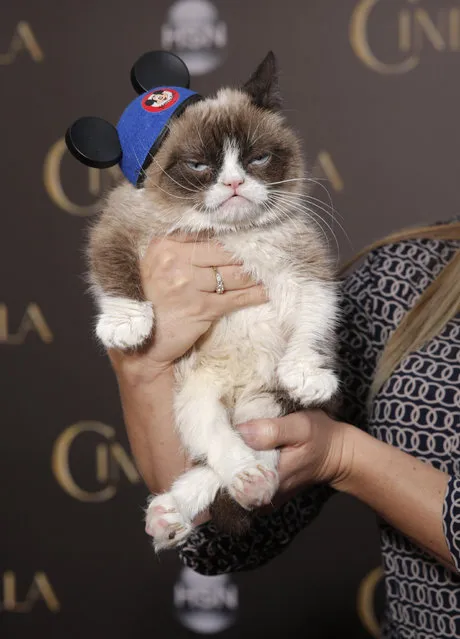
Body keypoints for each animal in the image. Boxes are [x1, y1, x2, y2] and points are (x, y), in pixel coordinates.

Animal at [87, 52, 338, 552]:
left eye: (258, 158)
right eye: (200, 165)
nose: (235, 182)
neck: (230, 236)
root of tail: (239, 391)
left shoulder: (304, 267)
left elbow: (315, 317)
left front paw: (308, 374)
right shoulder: (121, 225)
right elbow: (114, 270)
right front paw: (127, 325)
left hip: (268, 403)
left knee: (249, 447)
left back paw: (238, 489)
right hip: (195, 391)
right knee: (216, 441)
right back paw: (213, 494)